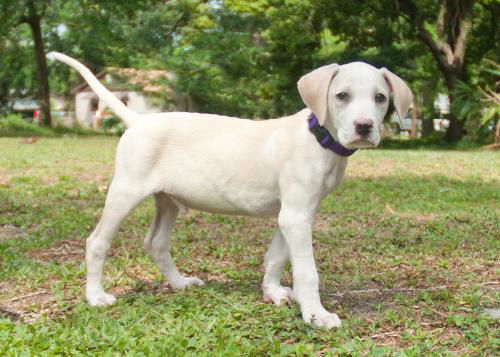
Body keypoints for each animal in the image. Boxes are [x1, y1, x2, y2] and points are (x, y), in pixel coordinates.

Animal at [48, 51, 412, 326]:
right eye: (342, 96)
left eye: (380, 98)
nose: (364, 127)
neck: (317, 138)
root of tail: (139, 119)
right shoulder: (295, 216)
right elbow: (307, 271)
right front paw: (316, 316)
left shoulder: (294, 213)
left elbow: (276, 257)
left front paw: (272, 292)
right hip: (125, 191)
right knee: (97, 241)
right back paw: (96, 296)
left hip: (168, 200)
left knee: (156, 243)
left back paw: (180, 283)